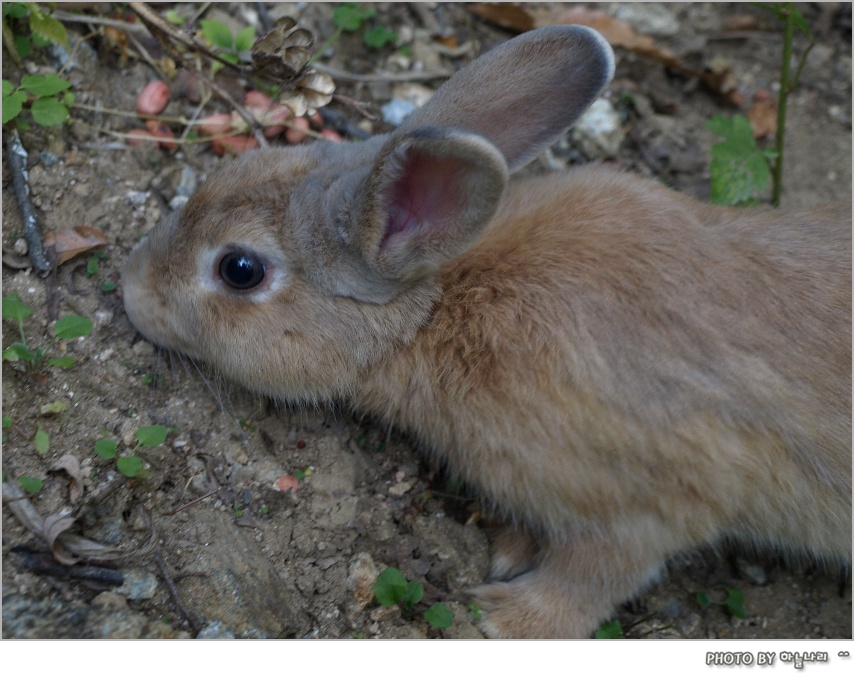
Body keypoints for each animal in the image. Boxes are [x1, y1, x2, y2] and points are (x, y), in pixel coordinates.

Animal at [123, 25, 852, 636]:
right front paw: (511, 547)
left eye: (239, 269)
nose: (130, 289)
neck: (432, 313)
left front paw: (504, 616)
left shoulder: (651, 499)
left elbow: (600, 572)